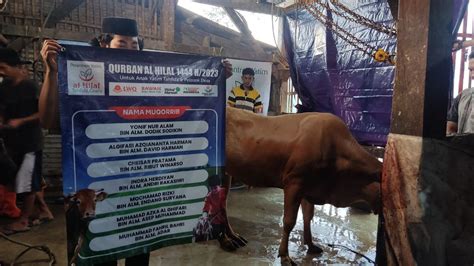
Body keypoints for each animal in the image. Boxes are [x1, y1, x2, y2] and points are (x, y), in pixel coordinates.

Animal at [221, 107, 382, 264]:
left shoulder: (309, 188)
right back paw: (227, 241)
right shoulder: (294, 183)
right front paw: (285, 255)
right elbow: (289, 221)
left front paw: (310, 245)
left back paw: (232, 236)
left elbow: (307, 217)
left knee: (223, 204)